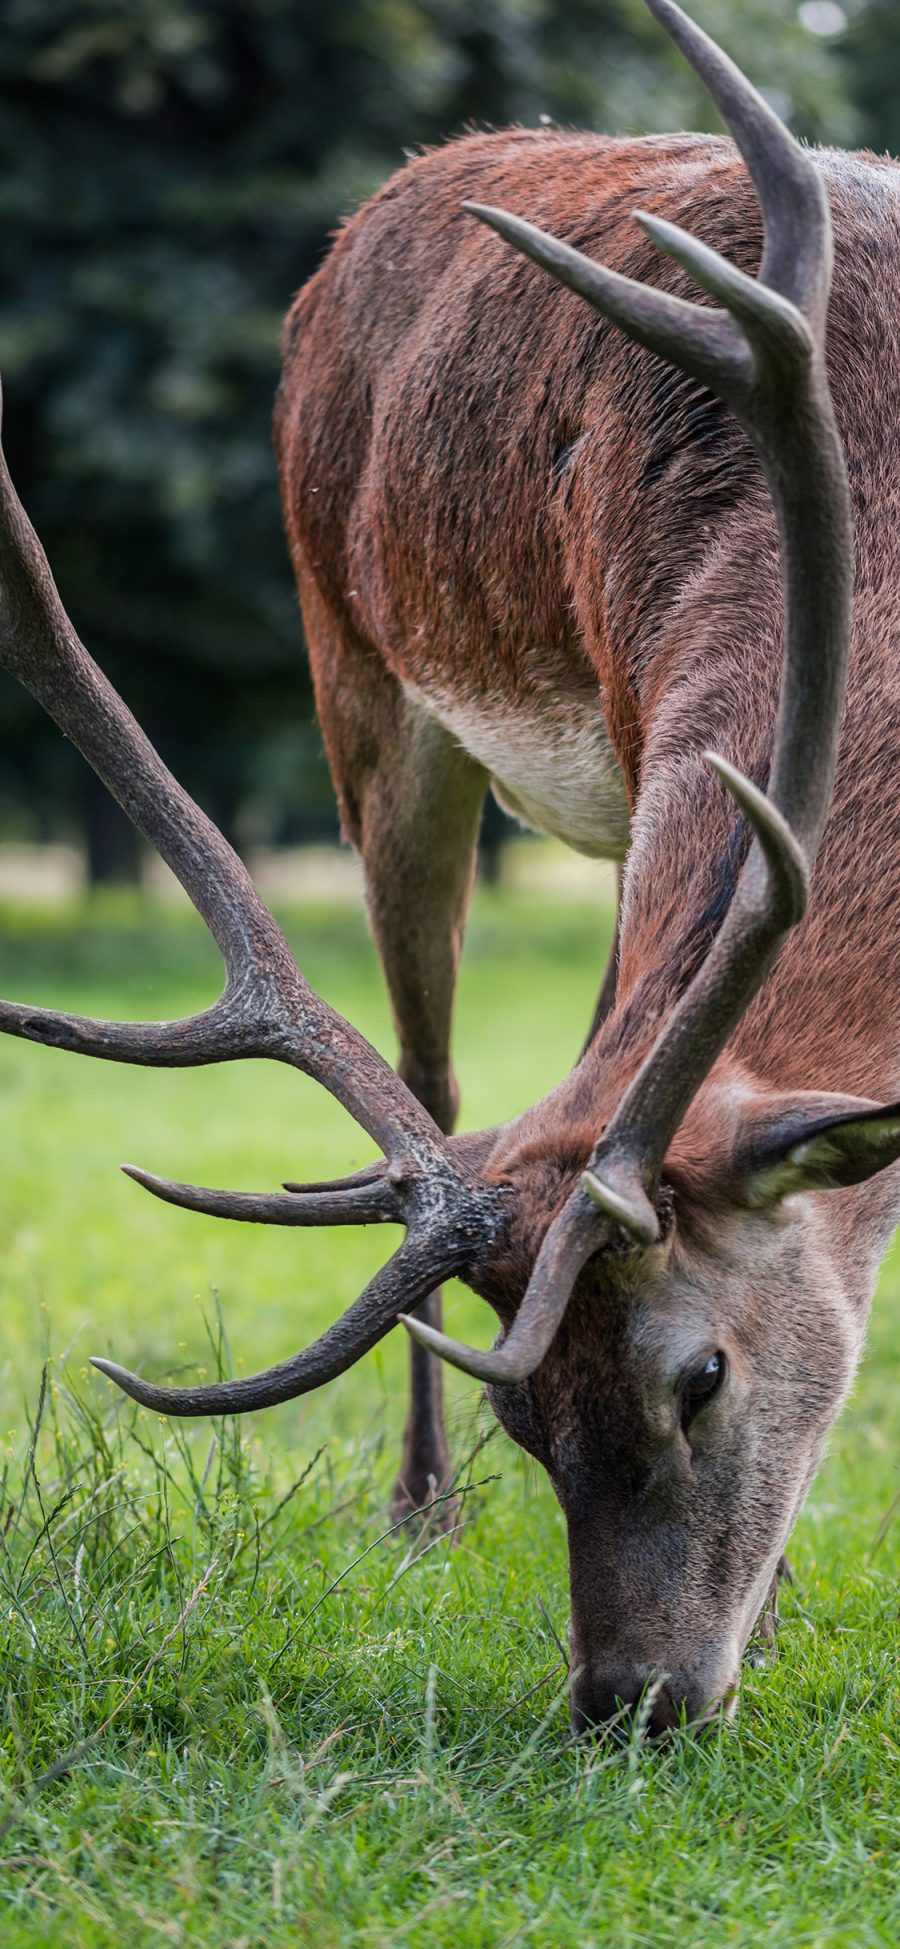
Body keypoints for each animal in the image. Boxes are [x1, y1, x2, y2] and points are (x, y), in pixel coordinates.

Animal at [1, 0, 900, 1738]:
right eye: (527, 1425)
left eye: (701, 1374)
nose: (630, 1695)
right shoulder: (625, 704)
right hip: (364, 674)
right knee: (436, 1058)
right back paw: (415, 1506)